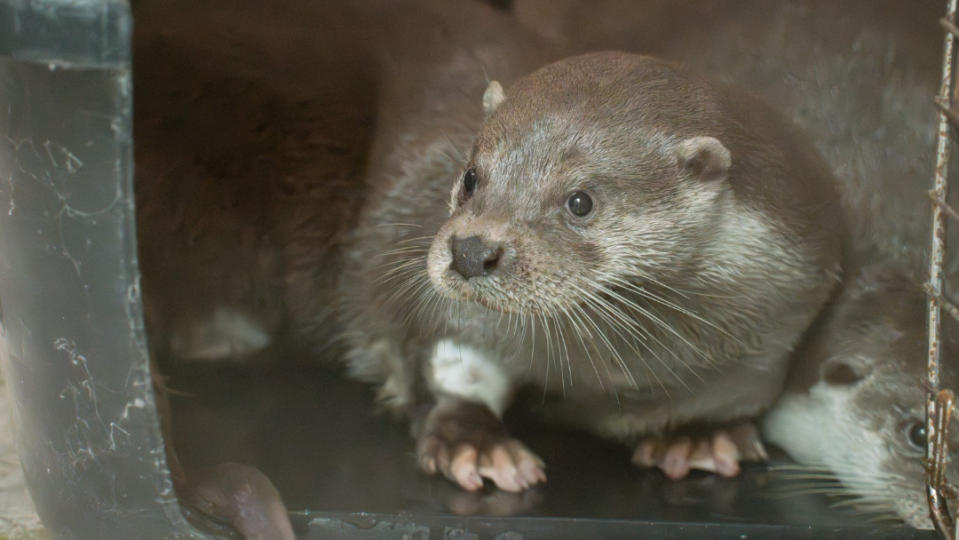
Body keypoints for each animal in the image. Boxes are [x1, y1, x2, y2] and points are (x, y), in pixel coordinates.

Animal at [340, 51, 848, 494]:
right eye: (470, 177)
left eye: (580, 201)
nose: (470, 250)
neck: (610, 375)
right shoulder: (455, 318)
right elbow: (454, 360)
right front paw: (473, 442)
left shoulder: (776, 331)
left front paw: (699, 435)